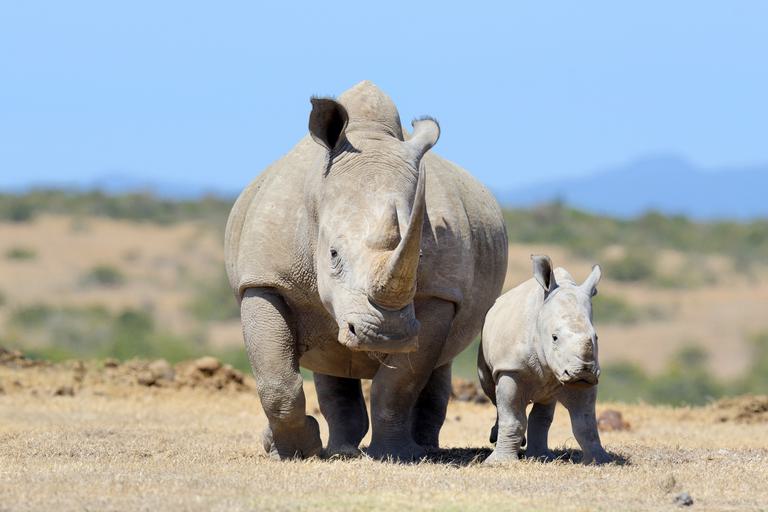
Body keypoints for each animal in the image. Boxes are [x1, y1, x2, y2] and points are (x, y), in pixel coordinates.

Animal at [225, 81, 508, 460]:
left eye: (419, 255)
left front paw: (397, 454)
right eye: (332, 254)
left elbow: (399, 384)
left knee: (437, 366)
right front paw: (292, 450)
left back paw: (423, 448)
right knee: (330, 360)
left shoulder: (438, 294)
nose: (385, 335)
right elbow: (277, 381)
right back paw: (340, 450)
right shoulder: (264, 280)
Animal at [478, 255, 611, 464]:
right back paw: (498, 439)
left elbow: (586, 423)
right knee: (493, 392)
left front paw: (600, 460)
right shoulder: (511, 368)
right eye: (554, 337)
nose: (583, 371)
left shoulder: (581, 379)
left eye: (596, 338)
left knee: (545, 404)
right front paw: (499, 463)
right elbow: (512, 417)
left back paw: (541, 456)